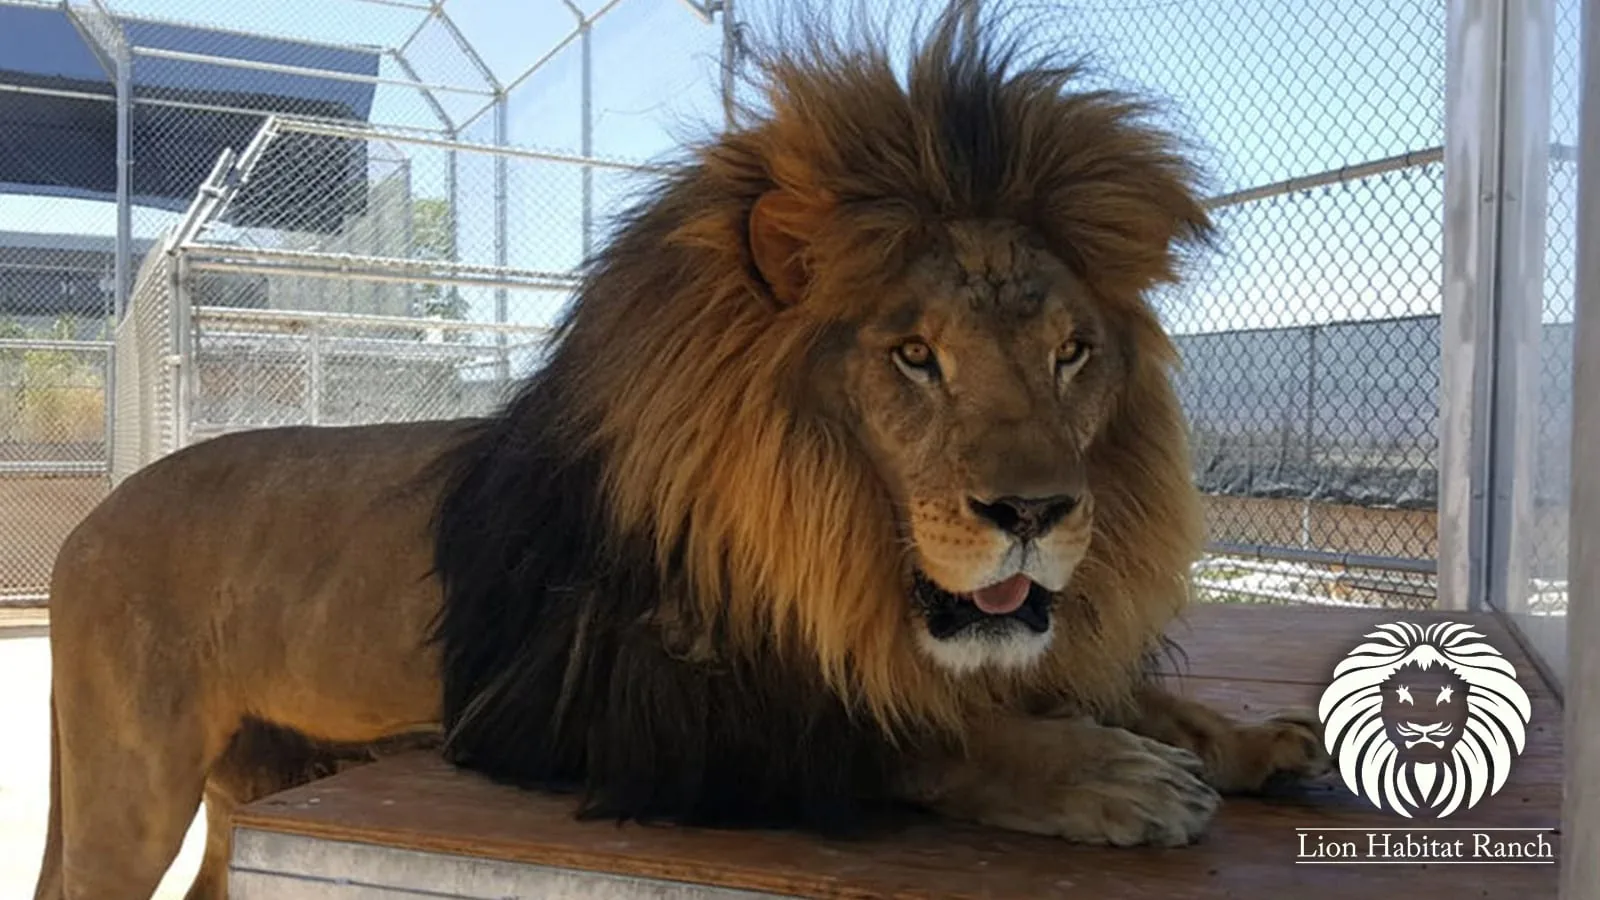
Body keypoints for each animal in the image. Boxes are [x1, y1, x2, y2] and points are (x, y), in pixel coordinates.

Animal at [33, 4, 1331, 898]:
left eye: (1070, 353)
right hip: (130, 785)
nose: (1035, 514)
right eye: (914, 355)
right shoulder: (624, 721)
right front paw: (1108, 776)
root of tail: (93, 518)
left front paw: (1247, 738)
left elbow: (1098, 690)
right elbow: (909, 735)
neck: (824, 538)